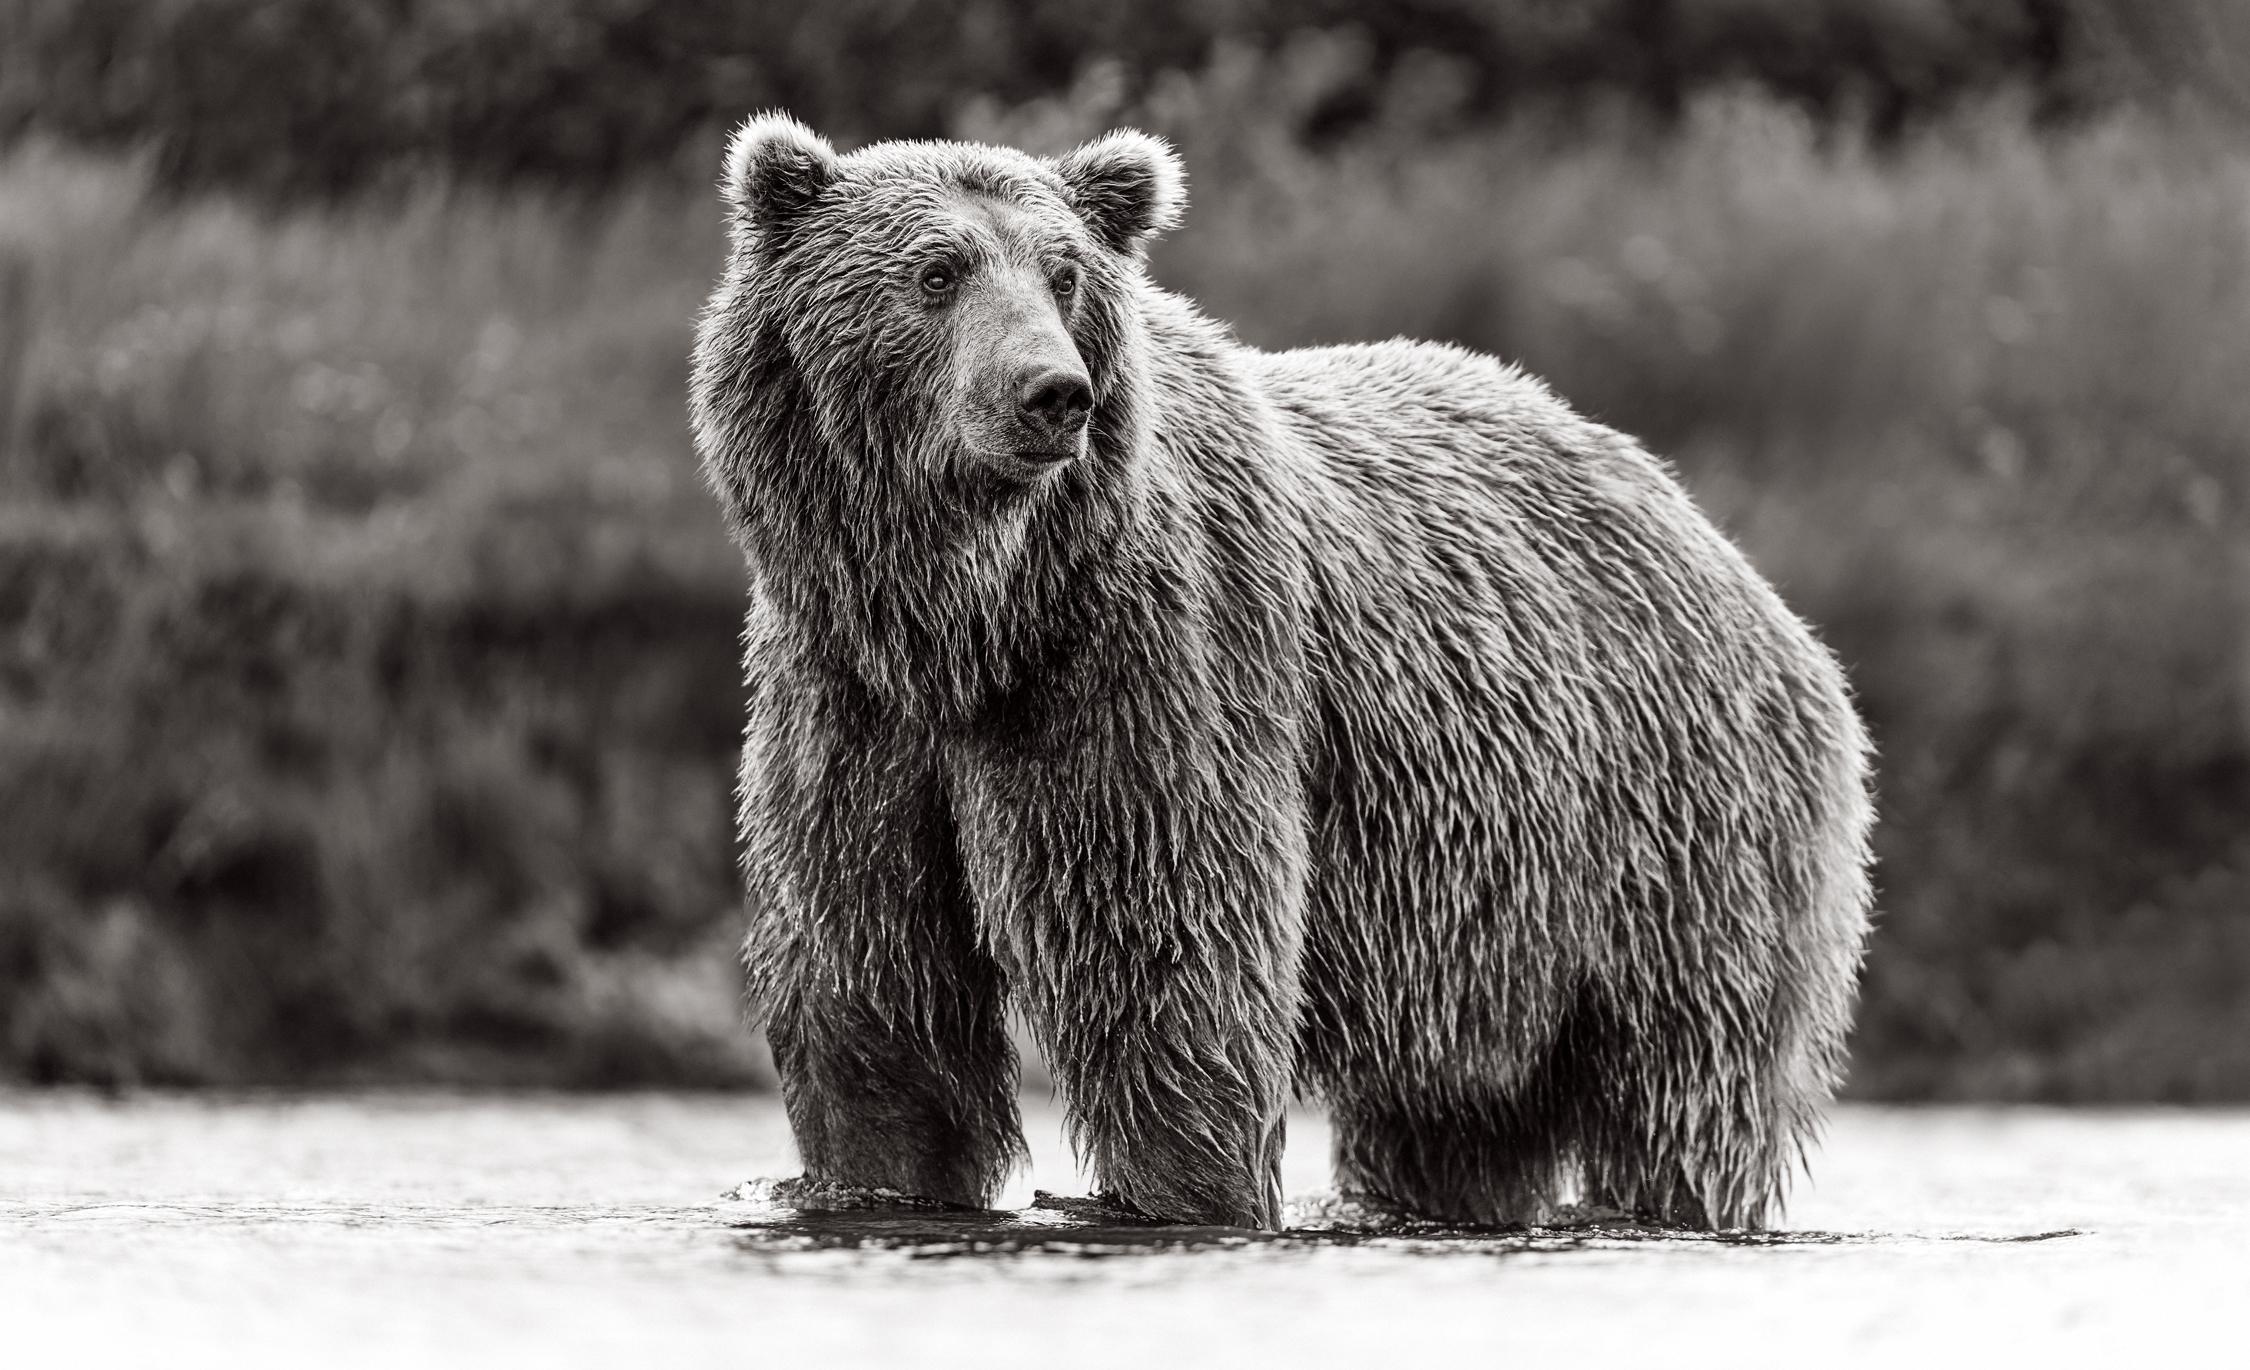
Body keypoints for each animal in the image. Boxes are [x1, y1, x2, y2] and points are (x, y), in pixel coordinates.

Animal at [688, 114, 1881, 1232]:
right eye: (937, 271)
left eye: (1064, 273)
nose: (1051, 393)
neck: (971, 617)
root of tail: (1723, 551)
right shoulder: (847, 698)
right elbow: (873, 986)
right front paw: (875, 1176)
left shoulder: (1151, 663)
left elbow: (1167, 956)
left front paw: (1173, 1190)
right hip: (1484, 931)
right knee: (1456, 1115)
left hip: (1670, 832)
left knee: (1683, 1085)